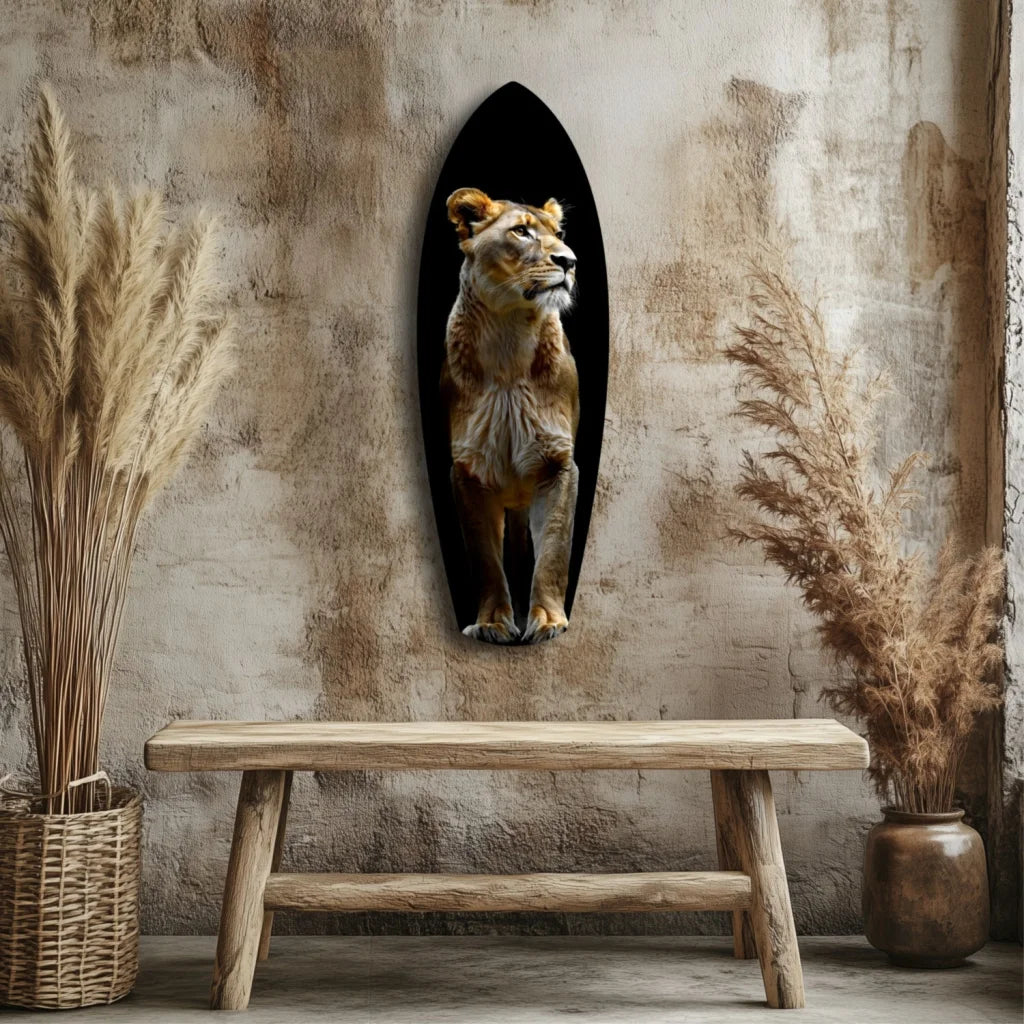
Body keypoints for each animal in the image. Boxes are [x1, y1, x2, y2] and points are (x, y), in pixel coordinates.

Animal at [441, 187, 580, 644]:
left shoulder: (558, 464)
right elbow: (485, 558)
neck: (510, 338)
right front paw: (492, 622)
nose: (570, 261)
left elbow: (554, 548)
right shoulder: (467, 470)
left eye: (559, 234)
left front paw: (549, 620)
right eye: (521, 232)